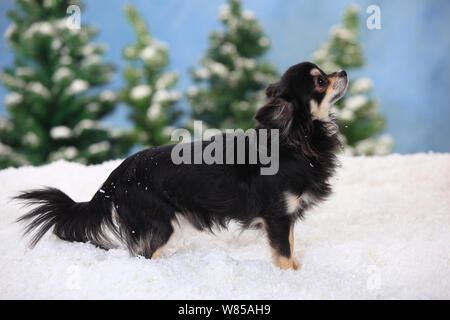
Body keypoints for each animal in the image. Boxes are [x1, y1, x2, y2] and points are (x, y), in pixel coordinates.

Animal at [15, 61, 348, 268]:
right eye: (321, 80)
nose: (343, 71)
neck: (295, 140)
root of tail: (113, 178)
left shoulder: (285, 220)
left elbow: (290, 247)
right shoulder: (277, 217)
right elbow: (283, 254)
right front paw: (290, 278)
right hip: (160, 224)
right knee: (144, 256)